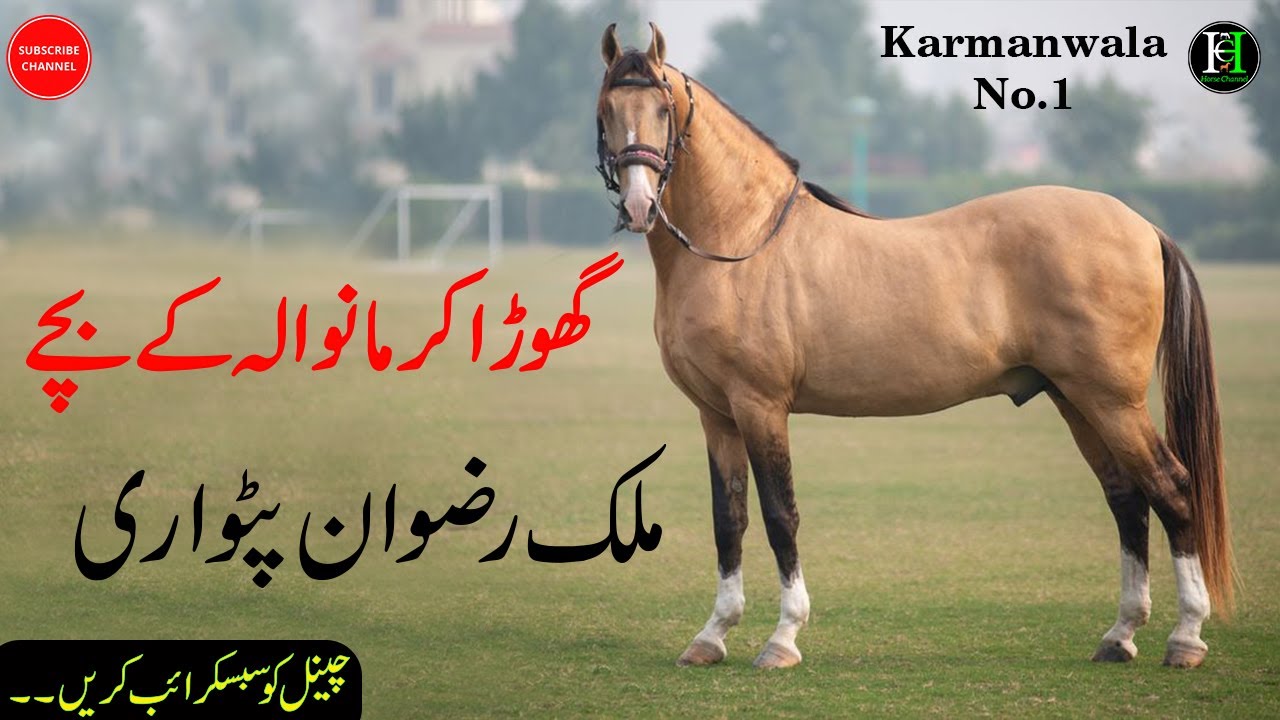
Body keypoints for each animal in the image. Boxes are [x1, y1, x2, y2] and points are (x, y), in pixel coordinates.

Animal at [595, 23, 1233, 670]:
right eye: (606, 109)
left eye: (663, 109)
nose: (640, 206)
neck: (743, 241)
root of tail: (1141, 226)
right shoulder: (717, 414)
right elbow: (730, 520)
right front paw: (712, 635)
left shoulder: (760, 407)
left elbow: (780, 515)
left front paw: (783, 638)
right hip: (1075, 399)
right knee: (1127, 498)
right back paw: (1121, 634)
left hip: (1112, 401)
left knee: (1173, 491)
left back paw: (1186, 637)